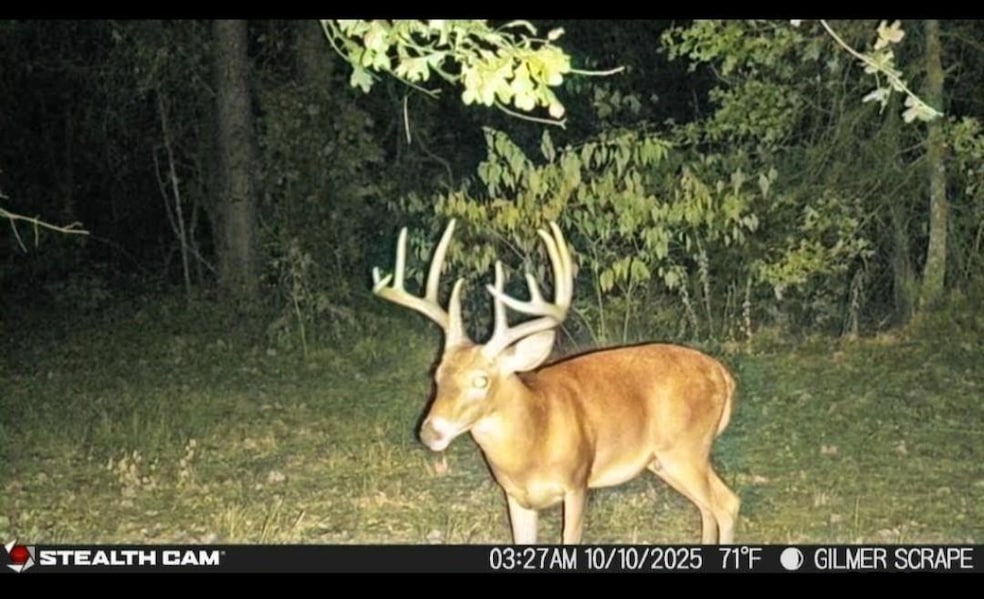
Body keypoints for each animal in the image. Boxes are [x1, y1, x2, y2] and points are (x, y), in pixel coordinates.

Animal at [371, 219, 740, 544]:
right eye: (437, 374)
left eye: (481, 381)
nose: (430, 432)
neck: (535, 439)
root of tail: (722, 374)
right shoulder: (515, 497)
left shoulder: (577, 481)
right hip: (665, 459)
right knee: (708, 507)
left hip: (686, 448)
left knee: (727, 504)